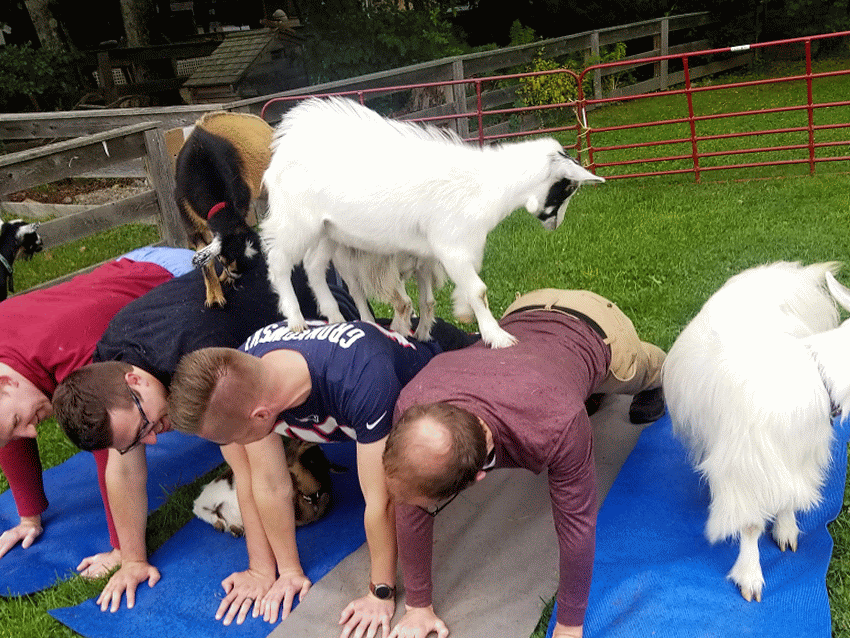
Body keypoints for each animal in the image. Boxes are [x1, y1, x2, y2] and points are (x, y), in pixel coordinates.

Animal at [175, 111, 272, 307]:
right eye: (225, 258)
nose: (234, 275)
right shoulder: (190, 223)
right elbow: (206, 261)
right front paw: (214, 296)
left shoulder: (240, 200)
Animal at [193, 437, 346, 536]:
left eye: (313, 460)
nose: (283, 461)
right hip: (211, 497)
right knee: (200, 510)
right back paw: (220, 524)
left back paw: (236, 528)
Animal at [261, 96, 605, 348]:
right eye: (566, 188)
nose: (555, 224)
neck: (487, 186)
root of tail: (285, 144)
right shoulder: (451, 244)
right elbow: (479, 289)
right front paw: (497, 336)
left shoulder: (443, 251)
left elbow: (440, 294)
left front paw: (448, 318)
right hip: (296, 221)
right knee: (279, 262)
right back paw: (296, 320)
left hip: (328, 231)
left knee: (314, 266)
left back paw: (336, 317)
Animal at [663, 261, 850, 602]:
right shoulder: (744, 471)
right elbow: (749, 525)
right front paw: (750, 577)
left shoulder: (800, 459)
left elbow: (789, 496)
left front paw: (786, 530)